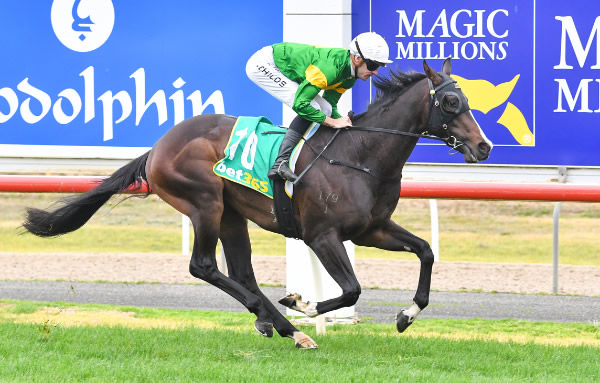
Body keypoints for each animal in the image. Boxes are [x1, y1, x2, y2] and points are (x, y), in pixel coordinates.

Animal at [23, 60, 492, 352]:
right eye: (451, 102)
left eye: (468, 100)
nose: (484, 147)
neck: (361, 154)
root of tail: (158, 148)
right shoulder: (322, 235)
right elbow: (352, 289)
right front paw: (302, 304)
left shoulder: (371, 230)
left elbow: (426, 252)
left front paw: (406, 315)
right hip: (205, 203)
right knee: (204, 266)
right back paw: (289, 326)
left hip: (231, 214)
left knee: (240, 271)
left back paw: (276, 325)